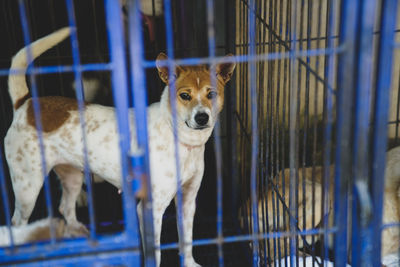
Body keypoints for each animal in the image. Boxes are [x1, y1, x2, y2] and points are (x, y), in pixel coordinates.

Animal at [4, 27, 236, 266]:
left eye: (211, 94)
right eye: (184, 95)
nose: (202, 117)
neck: (179, 138)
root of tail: (25, 104)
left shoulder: (188, 201)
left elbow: (187, 240)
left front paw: (189, 262)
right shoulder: (150, 210)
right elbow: (156, 253)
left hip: (72, 177)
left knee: (65, 207)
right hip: (27, 189)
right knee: (18, 223)